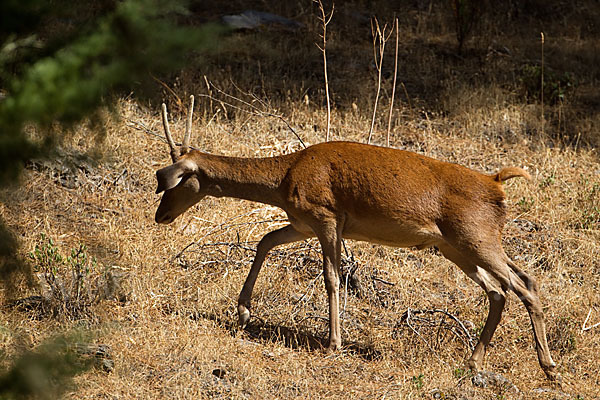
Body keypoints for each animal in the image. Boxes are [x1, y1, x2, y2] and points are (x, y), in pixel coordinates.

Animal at [154, 95, 556, 380]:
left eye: (175, 180)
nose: (160, 215)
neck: (284, 179)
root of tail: (497, 184)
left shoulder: (325, 216)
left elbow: (332, 277)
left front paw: (333, 343)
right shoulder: (302, 222)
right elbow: (266, 240)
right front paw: (243, 311)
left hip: (475, 237)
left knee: (524, 282)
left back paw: (548, 366)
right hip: (455, 246)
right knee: (500, 289)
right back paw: (474, 361)